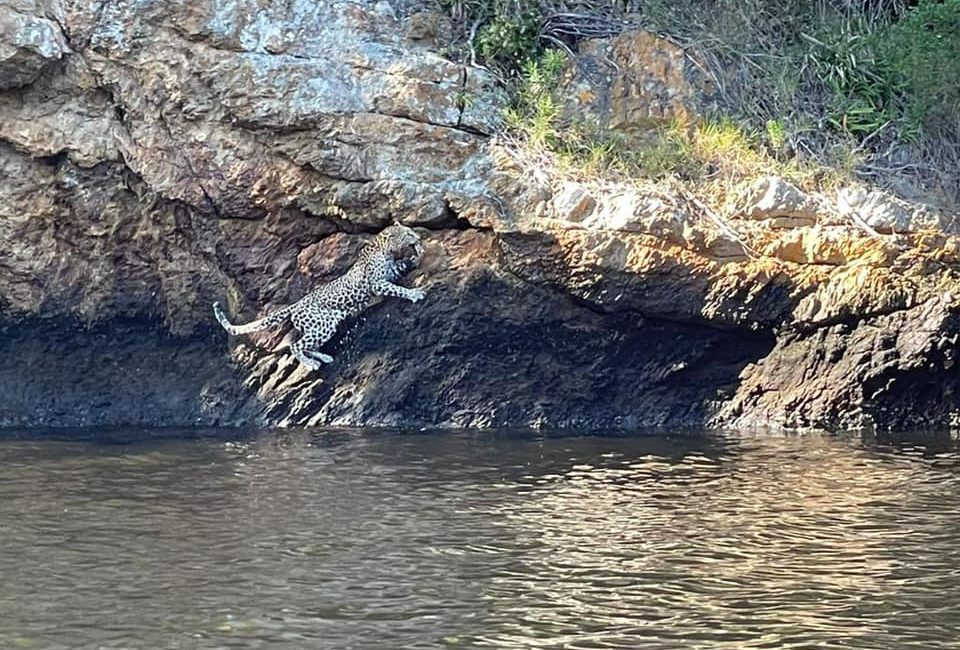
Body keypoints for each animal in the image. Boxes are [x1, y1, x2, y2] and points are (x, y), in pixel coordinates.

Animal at [213, 223, 426, 371]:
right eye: (407, 234)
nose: (418, 237)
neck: (383, 248)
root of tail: (296, 304)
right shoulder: (378, 283)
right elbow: (398, 289)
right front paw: (415, 293)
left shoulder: (390, 273)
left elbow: (400, 268)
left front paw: (415, 257)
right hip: (322, 324)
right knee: (296, 345)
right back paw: (310, 364)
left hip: (324, 325)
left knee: (307, 345)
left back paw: (324, 358)